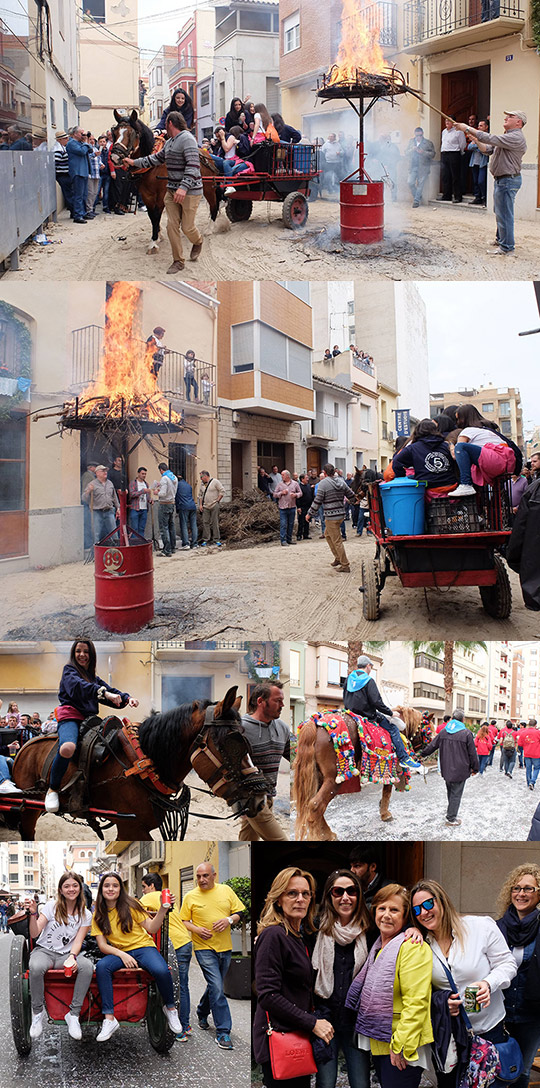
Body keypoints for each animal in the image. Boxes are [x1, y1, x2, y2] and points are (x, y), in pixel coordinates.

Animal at [11, 687, 266, 839]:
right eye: (230, 743)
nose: (260, 799)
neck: (143, 761)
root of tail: (26, 744)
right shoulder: (130, 828)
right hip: (27, 809)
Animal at [291, 705, 431, 839]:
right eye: (428, 732)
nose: (426, 752)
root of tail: (313, 725)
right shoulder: (390, 769)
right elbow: (387, 791)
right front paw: (385, 814)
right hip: (333, 779)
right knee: (316, 805)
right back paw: (323, 836)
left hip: (318, 777)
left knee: (313, 806)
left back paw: (326, 833)